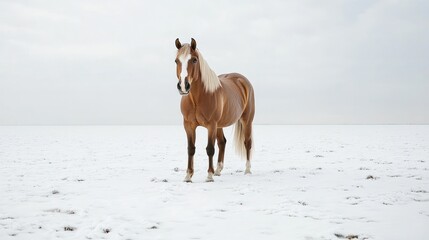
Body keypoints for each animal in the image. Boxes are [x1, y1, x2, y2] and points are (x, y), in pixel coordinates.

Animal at [174, 38, 254, 182]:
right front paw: (188, 176)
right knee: (222, 143)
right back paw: (218, 170)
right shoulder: (188, 125)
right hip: (219, 126)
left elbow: (210, 148)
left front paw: (209, 175)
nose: (183, 86)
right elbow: (191, 149)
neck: (197, 98)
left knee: (247, 142)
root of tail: (242, 81)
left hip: (246, 121)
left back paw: (247, 170)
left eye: (194, 60)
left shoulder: (211, 125)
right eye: (176, 60)